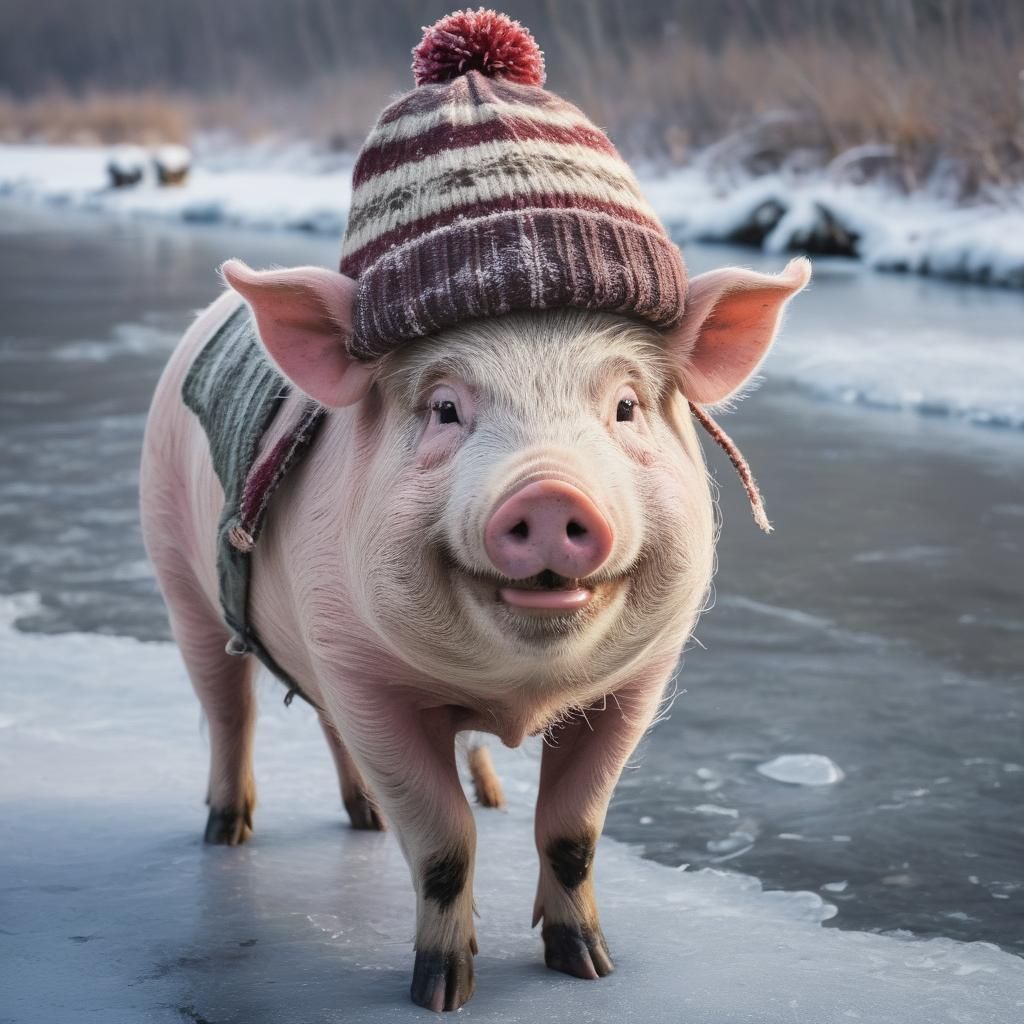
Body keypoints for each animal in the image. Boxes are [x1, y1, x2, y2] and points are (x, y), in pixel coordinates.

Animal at [140, 254, 810, 1011]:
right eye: (445, 409)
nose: (549, 494)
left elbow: (573, 830)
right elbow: (443, 843)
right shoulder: (362, 674)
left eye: (626, 407)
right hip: (178, 576)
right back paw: (226, 834)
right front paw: (441, 993)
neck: (519, 695)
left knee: (328, 729)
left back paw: (385, 816)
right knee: (231, 711)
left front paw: (590, 967)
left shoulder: (640, 680)